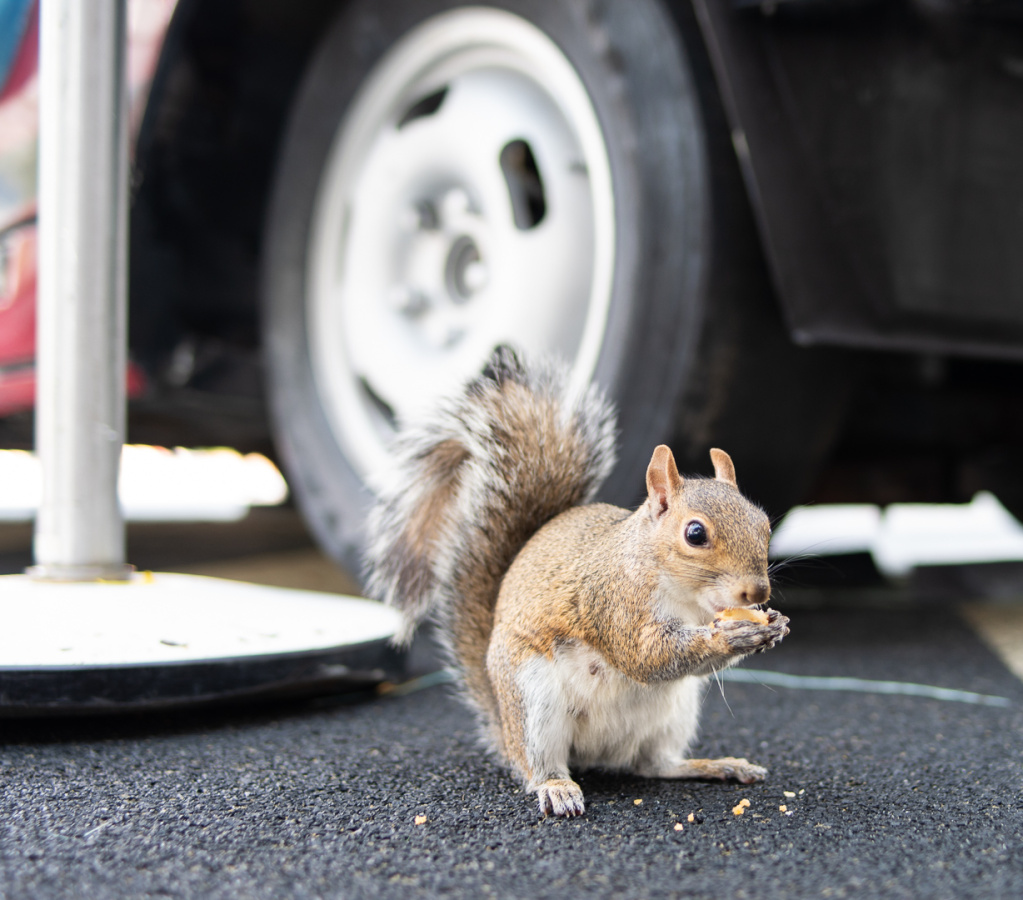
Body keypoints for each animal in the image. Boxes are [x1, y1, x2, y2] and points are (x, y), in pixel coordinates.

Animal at [365, 347, 789, 817]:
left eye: (763, 523)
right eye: (695, 533)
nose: (757, 593)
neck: (685, 595)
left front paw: (773, 625)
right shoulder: (613, 601)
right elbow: (647, 655)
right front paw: (733, 635)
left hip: (675, 711)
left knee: (655, 764)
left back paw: (716, 765)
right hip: (532, 699)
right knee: (538, 765)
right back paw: (557, 787)